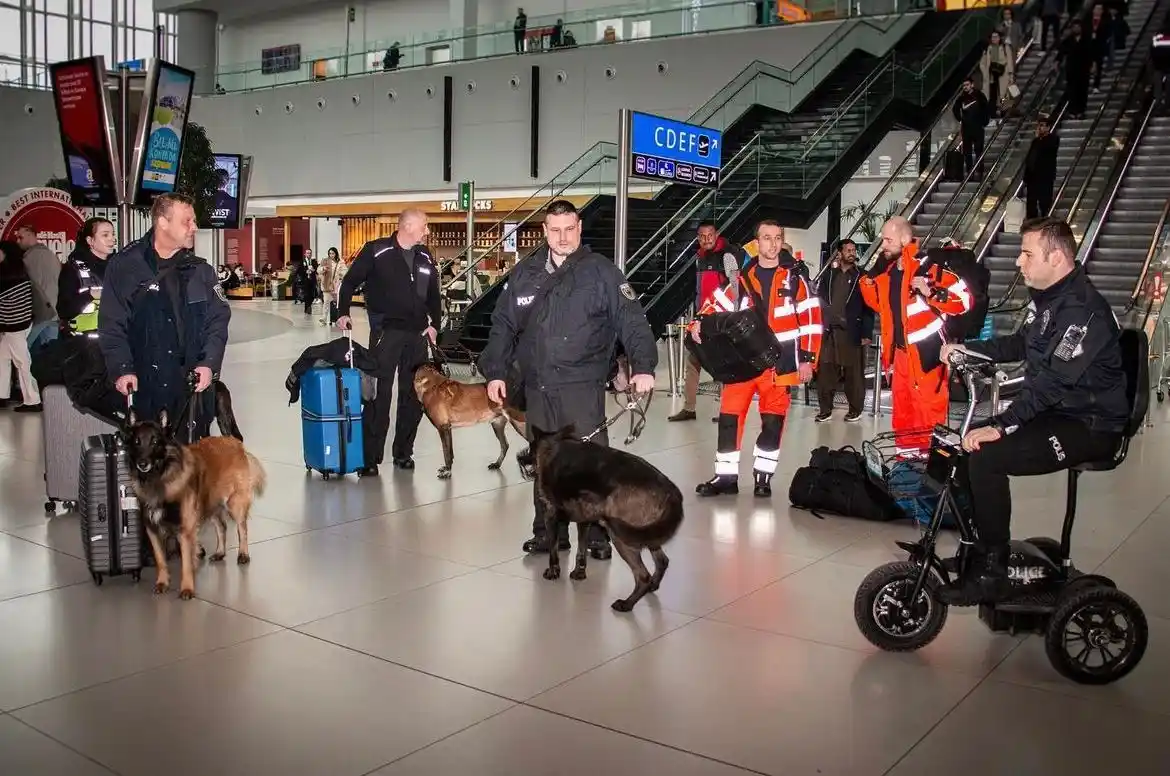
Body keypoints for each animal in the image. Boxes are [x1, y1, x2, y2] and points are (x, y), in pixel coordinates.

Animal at [125, 411, 267, 599]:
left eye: (155, 442)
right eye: (137, 442)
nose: (142, 463)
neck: (160, 477)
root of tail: (235, 442)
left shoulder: (185, 530)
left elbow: (186, 562)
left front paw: (187, 589)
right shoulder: (153, 529)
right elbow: (160, 559)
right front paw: (162, 583)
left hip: (233, 503)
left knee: (242, 528)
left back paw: (243, 554)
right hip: (210, 503)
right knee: (222, 527)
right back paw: (220, 552)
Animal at [521, 426, 683, 613]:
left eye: (530, 448)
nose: (520, 458)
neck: (552, 445)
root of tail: (671, 490)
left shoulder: (551, 516)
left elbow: (553, 551)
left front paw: (553, 572)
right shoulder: (584, 520)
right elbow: (581, 551)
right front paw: (579, 573)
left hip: (622, 536)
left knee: (642, 576)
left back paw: (626, 604)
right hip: (644, 532)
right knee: (662, 561)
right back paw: (652, 586)